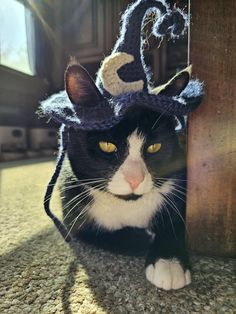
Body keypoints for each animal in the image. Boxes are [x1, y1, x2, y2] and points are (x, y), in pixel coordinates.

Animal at [59, 64, 192, 292]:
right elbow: (98, 234)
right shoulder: (72, 209)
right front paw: (145, 238)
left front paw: (169, 261)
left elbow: (176, 222)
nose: (135, 179)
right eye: (107, 145)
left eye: (154, 147)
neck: (128, 205)